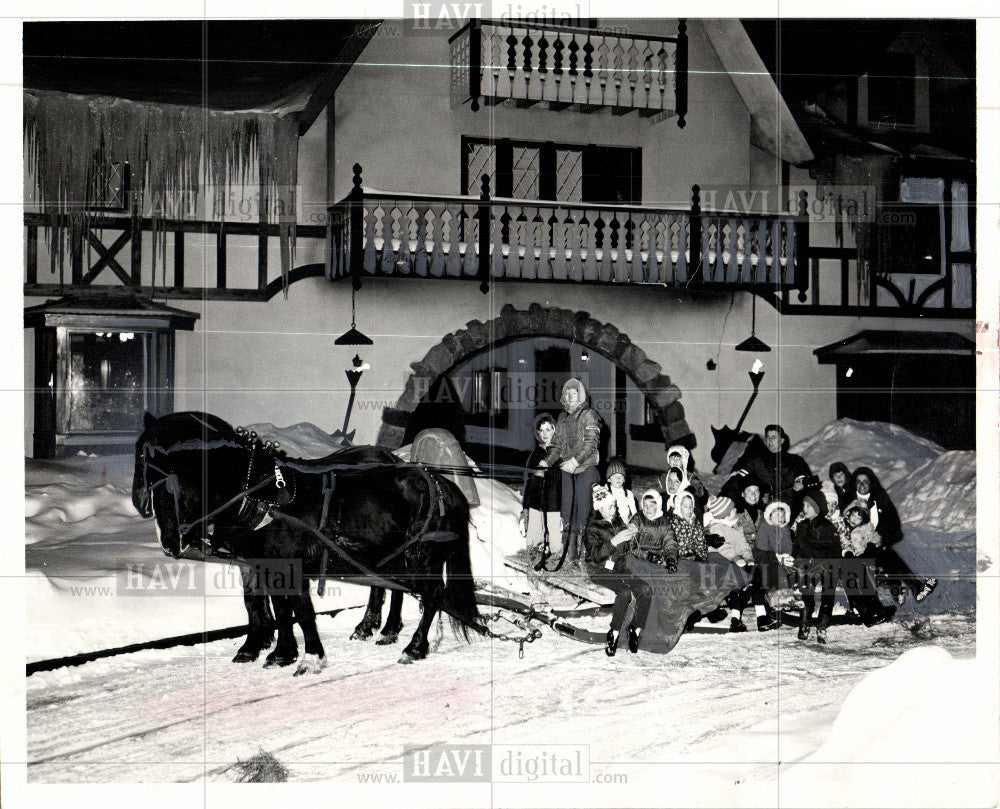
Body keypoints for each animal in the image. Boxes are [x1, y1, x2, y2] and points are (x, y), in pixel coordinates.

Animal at [133, 414, 484, 664]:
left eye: (170, 479)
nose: (171, 543)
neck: (261, 494)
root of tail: (440, 483)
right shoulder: (255, 562)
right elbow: (260, 604)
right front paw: (259, 648)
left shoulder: (283, 563)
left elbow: (288, 607)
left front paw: (284, 653)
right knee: (394, 587)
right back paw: (381, 630)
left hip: (420, 556)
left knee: (432, 594)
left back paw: (413, 647)